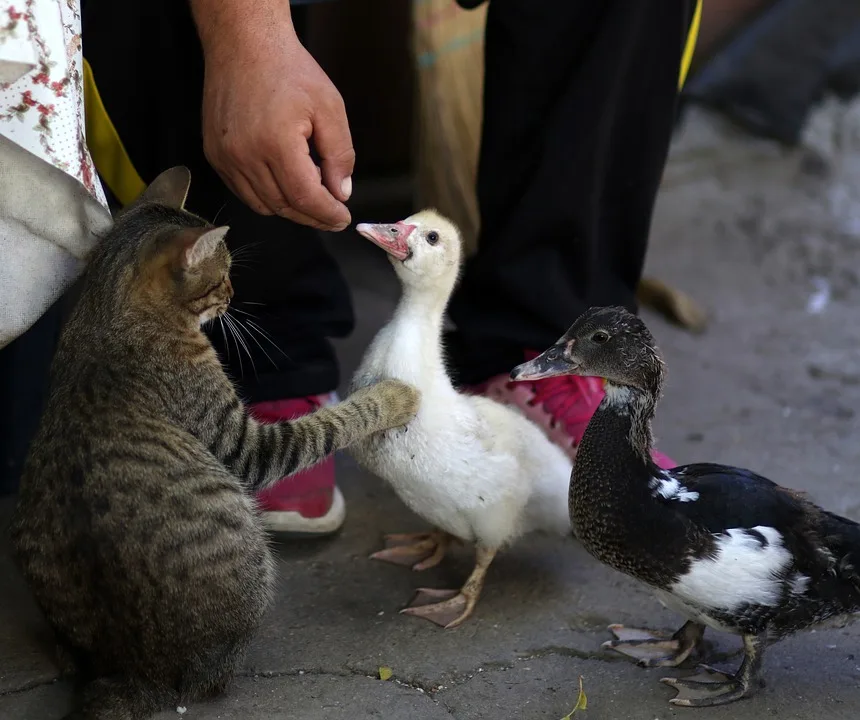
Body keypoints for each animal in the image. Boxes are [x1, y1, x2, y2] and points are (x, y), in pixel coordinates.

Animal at [10, 166, 420, 716]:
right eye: (222, 273)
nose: (232, 293)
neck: (106, 315)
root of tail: (138, 672)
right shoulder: (246, 445)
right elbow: (328, 424)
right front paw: (394, 396)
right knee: (210, 682)